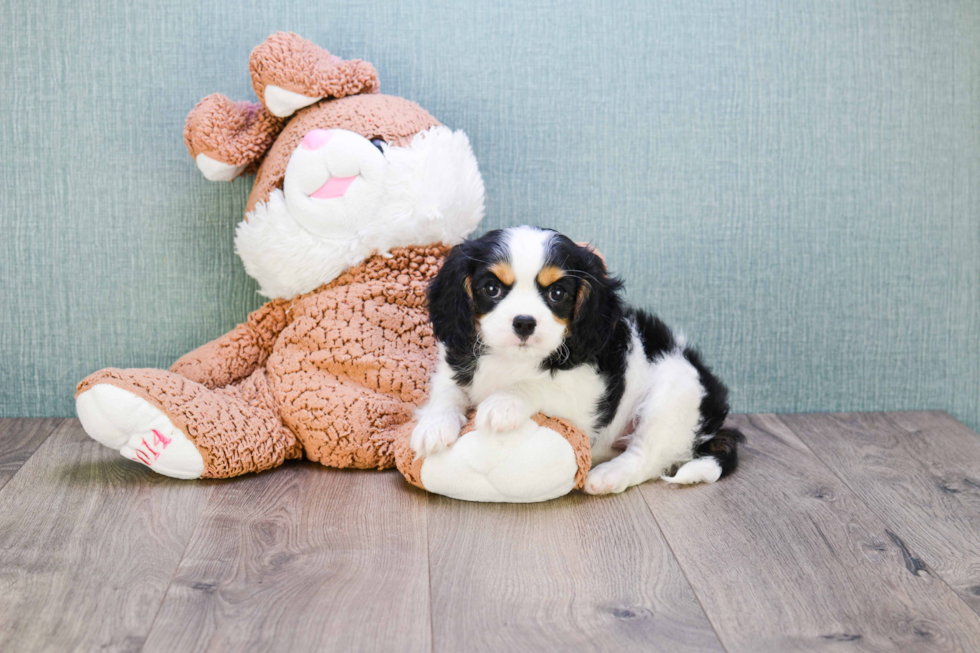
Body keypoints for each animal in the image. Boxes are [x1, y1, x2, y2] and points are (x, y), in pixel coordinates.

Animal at [408, 227, 744, 492]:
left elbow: (538, 386)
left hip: (674, 393)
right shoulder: (453, 366)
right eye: (491, 289)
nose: (524, 323)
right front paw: (434, 426)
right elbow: (447, 393)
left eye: (557, 293)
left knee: (647, 456)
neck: (513, 359)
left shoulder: (584, 402)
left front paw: (503, 403)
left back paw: (608, 476)